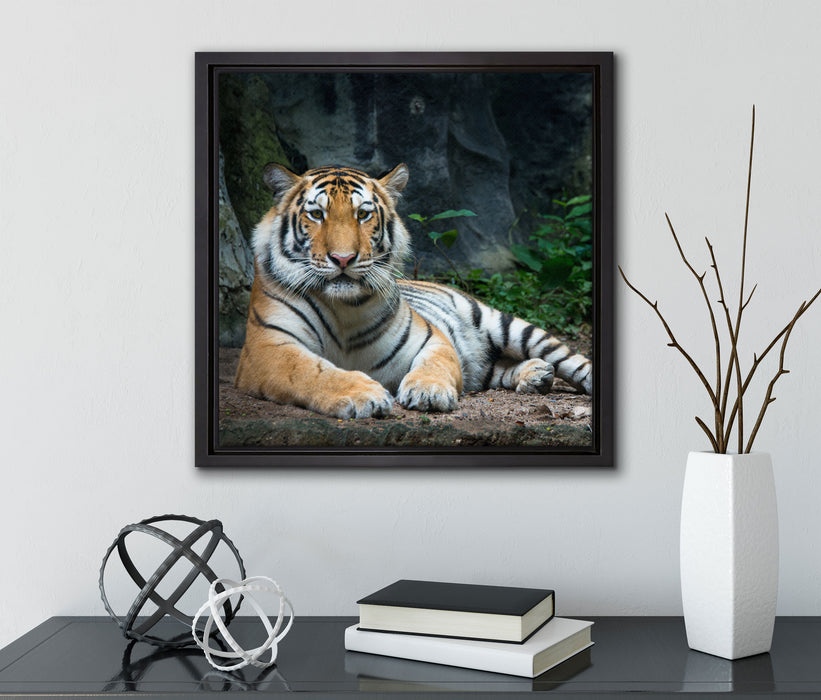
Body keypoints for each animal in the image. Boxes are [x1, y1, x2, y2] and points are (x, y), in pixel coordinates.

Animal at [234, 162, 593, 419]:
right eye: (316, 214)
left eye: (362, 214)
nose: (343, 258)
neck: (344, 308)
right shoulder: (268, 348)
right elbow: (312, 372)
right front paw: (363, 394)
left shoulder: (431, 338)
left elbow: (435, 365)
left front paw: (428, 393)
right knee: (493, 368)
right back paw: (536, 374)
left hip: (507, 325)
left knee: (572, 361)